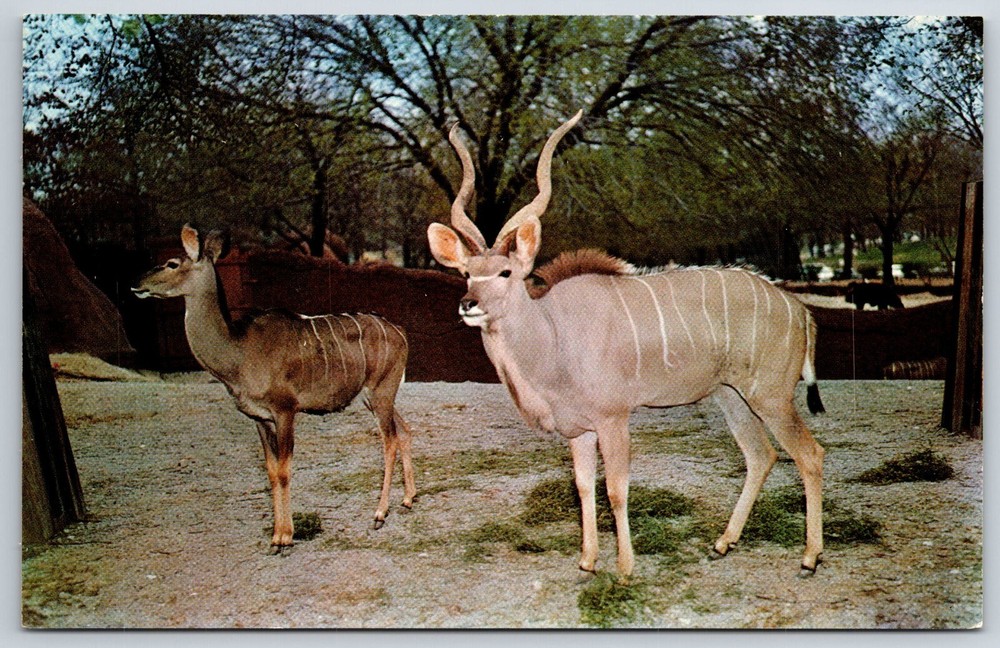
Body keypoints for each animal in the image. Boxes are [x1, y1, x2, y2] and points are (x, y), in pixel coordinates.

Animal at [133, 226, 416, 554]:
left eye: (172, 263)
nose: (137, 283)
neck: (239, 353)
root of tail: (401, 333)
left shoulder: (285, 410)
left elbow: (283, 470)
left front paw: (285, 538)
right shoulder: (259, 418)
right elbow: (270, 471)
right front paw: (275, 536)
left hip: (380, 391)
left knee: (389, 440)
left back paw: (380, 513)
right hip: (375, 396)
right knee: (404, 429)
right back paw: (408, 499)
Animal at [427, 112, 826, 578]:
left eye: (506, 272)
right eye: (466, 273)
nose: (468, 304)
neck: (554, 335)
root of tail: (800, 309)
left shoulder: (613, 420)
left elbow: (616, 490)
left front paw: (624, 568)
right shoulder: (580, 430)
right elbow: (583, 487)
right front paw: (587, 561)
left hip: (772, 397)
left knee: (810, 455)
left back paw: (810, 557)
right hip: (731, 396)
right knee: (761, 456)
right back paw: (723, 543)